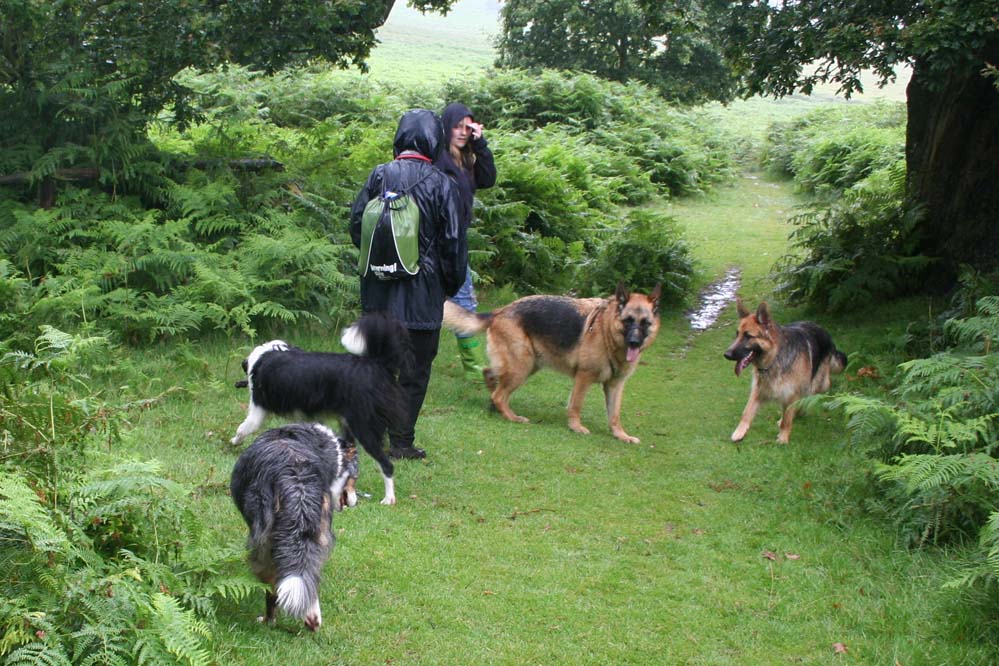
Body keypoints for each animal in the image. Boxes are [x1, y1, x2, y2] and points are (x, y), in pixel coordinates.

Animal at [231, 422, 360, 632]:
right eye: (355, 478)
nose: (354, 502)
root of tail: (298, 482)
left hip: (261, 544)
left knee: (273, 587)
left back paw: (268, 620)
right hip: (319, 535)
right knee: (310, 576)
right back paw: (312, 617)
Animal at [446, 280, 664, 440]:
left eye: (645, 323)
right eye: (628, 321)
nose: (634, 342)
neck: (606, 330)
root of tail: (501, 310)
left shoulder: (615, 385)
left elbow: (614, 414)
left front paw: (621, 435)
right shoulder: (584, 377)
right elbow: (576, 405)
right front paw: (576, 427)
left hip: (527, 365)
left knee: (490, 377)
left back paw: (495, 405)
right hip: (522, 367)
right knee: (499, 394)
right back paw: (511, 416)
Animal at [724, 298, 848, 444]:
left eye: (748, 336)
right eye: (737, 334)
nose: (726, 354)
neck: (774, 358)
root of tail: (826, 333)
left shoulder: (792, 392)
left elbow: (788, 419)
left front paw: (783, 438)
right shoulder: (759, 390)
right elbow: (747, 412)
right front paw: (739, 432)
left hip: (817, 384)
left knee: (809, 396)